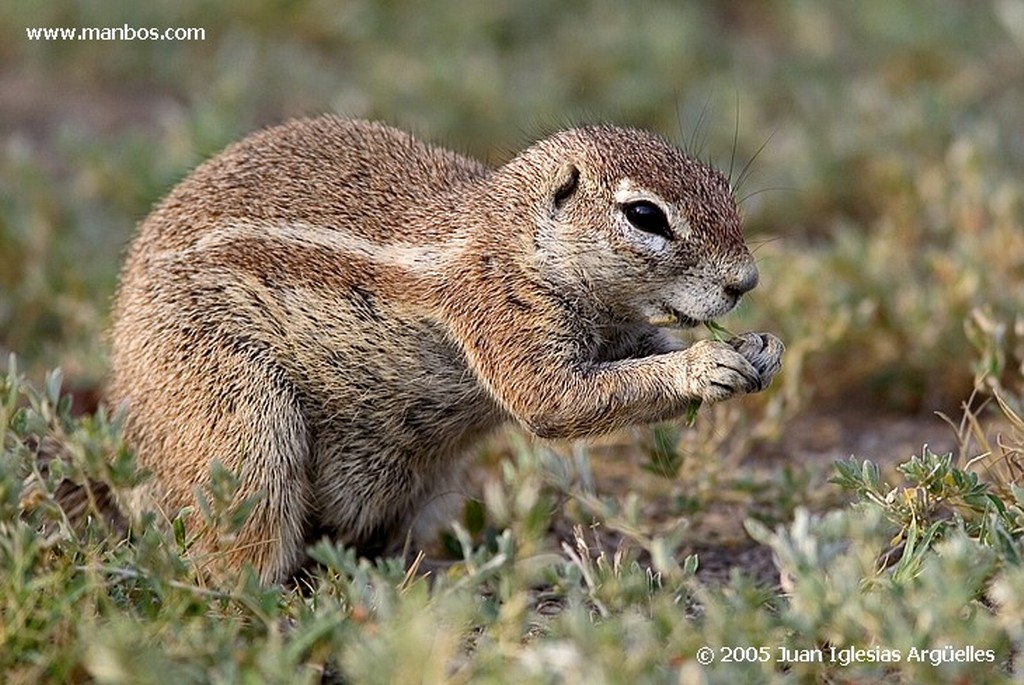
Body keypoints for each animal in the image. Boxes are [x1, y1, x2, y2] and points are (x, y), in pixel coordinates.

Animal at [105, 114, 782, 581]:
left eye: (722, 184)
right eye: (645, 215)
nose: (746, 282)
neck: (518, 237)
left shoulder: (623, 331)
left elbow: (646, 349)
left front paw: (760, 348)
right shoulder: (499, 309)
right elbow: (553, 399)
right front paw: (705, 365)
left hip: (430, 484)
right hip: (238, 425)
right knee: (228, 553)